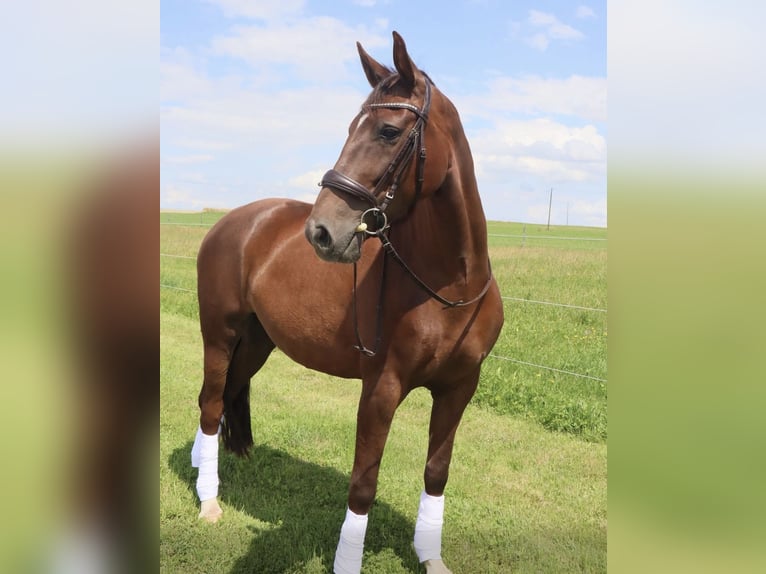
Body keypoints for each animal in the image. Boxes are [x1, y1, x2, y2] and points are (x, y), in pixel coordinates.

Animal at [191, 31, 504, 574]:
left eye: (387, 130)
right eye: (350, 127)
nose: (321, 231)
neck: (450, 291)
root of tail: (231, 222)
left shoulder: (459, 388)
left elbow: (436, 472)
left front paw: (431, 557)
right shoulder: (381, 389)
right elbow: (362, 485)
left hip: (257, 342)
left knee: (227, 393)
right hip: (220, 335)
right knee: (211, 403)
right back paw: (208, 500)